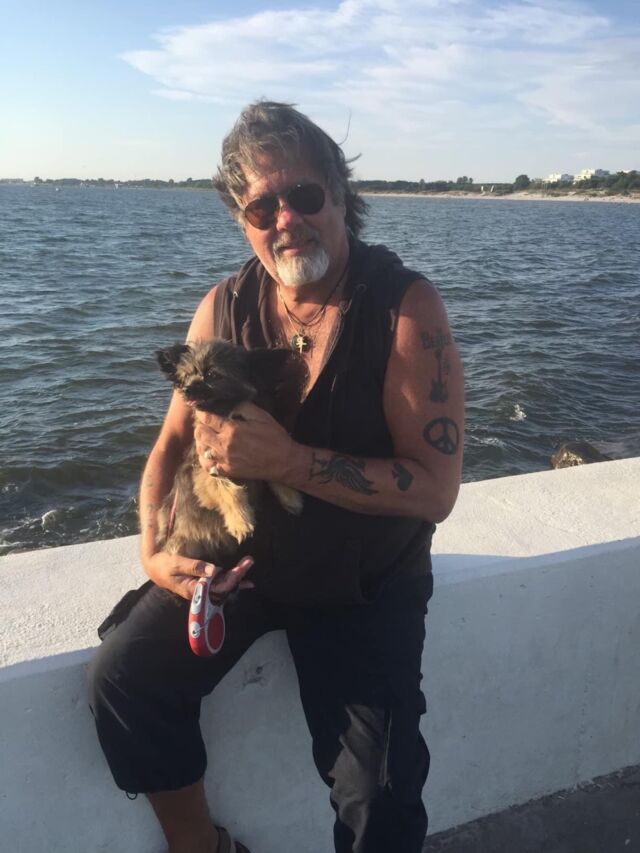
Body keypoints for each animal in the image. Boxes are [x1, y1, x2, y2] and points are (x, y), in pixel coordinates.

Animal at [155, 340, 305, 563]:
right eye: (188, 375)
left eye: (213, 375)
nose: (187, 389)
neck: (226, 413)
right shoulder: (204, 469)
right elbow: (226, 488)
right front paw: (240, 521)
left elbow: (273, 468)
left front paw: (290, 496)